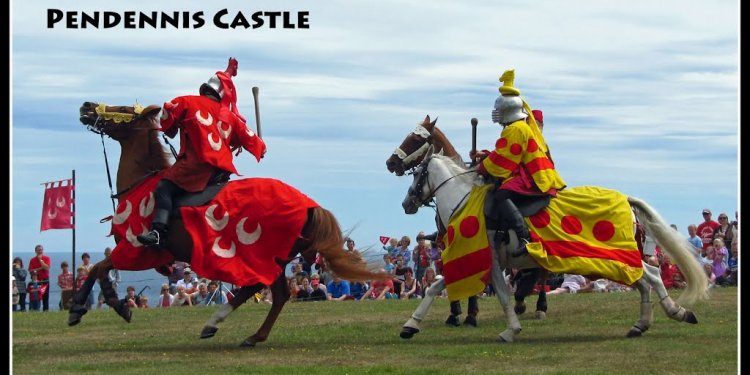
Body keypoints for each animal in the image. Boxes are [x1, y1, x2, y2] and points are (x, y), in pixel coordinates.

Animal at [78, 101, 388, 348]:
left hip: (264, 255)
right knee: (277, 294)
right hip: (277, 257)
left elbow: (98, 268)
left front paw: (99, 306)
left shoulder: (135, 250)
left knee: (262, 290)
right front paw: (88, 305)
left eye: (123, 108)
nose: (86, 106)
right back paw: (249, 334)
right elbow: (98, 270)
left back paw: (217, 323)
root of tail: (309, 205)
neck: (143, 182)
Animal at [400, 151, 712, 342]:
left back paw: (677, 312)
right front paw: (410, 326)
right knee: (646, 280)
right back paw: (642, 324)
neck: (465, 201)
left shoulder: (487, 261)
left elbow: (500, 295)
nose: (406, 203)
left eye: (417, 175)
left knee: (653, 276)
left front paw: (511, 331)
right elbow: (435, 287)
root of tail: (625, 199)